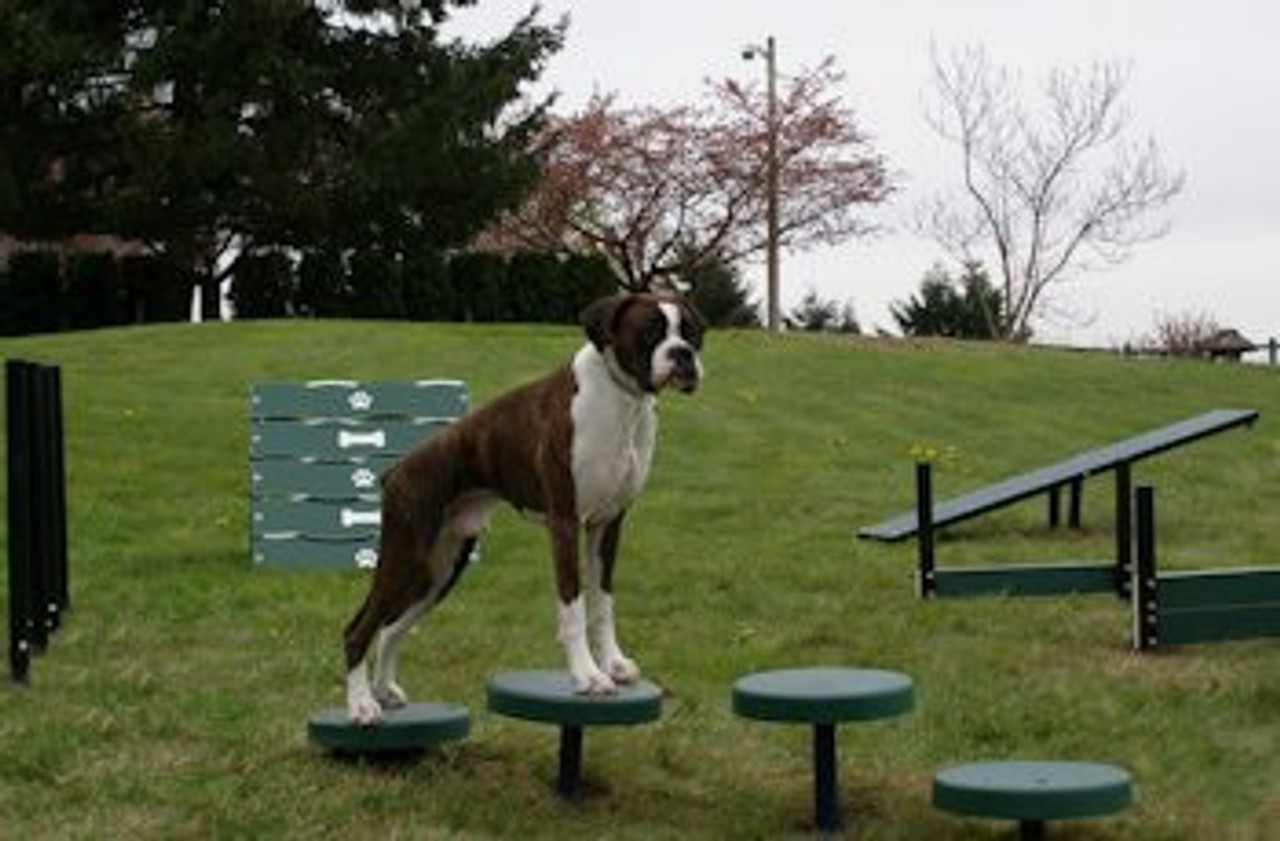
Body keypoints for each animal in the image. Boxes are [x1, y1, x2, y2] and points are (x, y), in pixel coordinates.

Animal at [345, 293, 706, 721]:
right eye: (650, 330)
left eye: (691, 332)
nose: (683, 354)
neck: (622, 400)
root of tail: (396, 471)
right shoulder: (566, 522)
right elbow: (573, 606)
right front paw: (587, 675)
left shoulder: (607, 526)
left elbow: (602, 602)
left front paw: (614, 664)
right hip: (406, 556)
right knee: (359, 629)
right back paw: (362, 705)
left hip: (438, 571)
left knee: (391, 629)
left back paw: (384, 690)